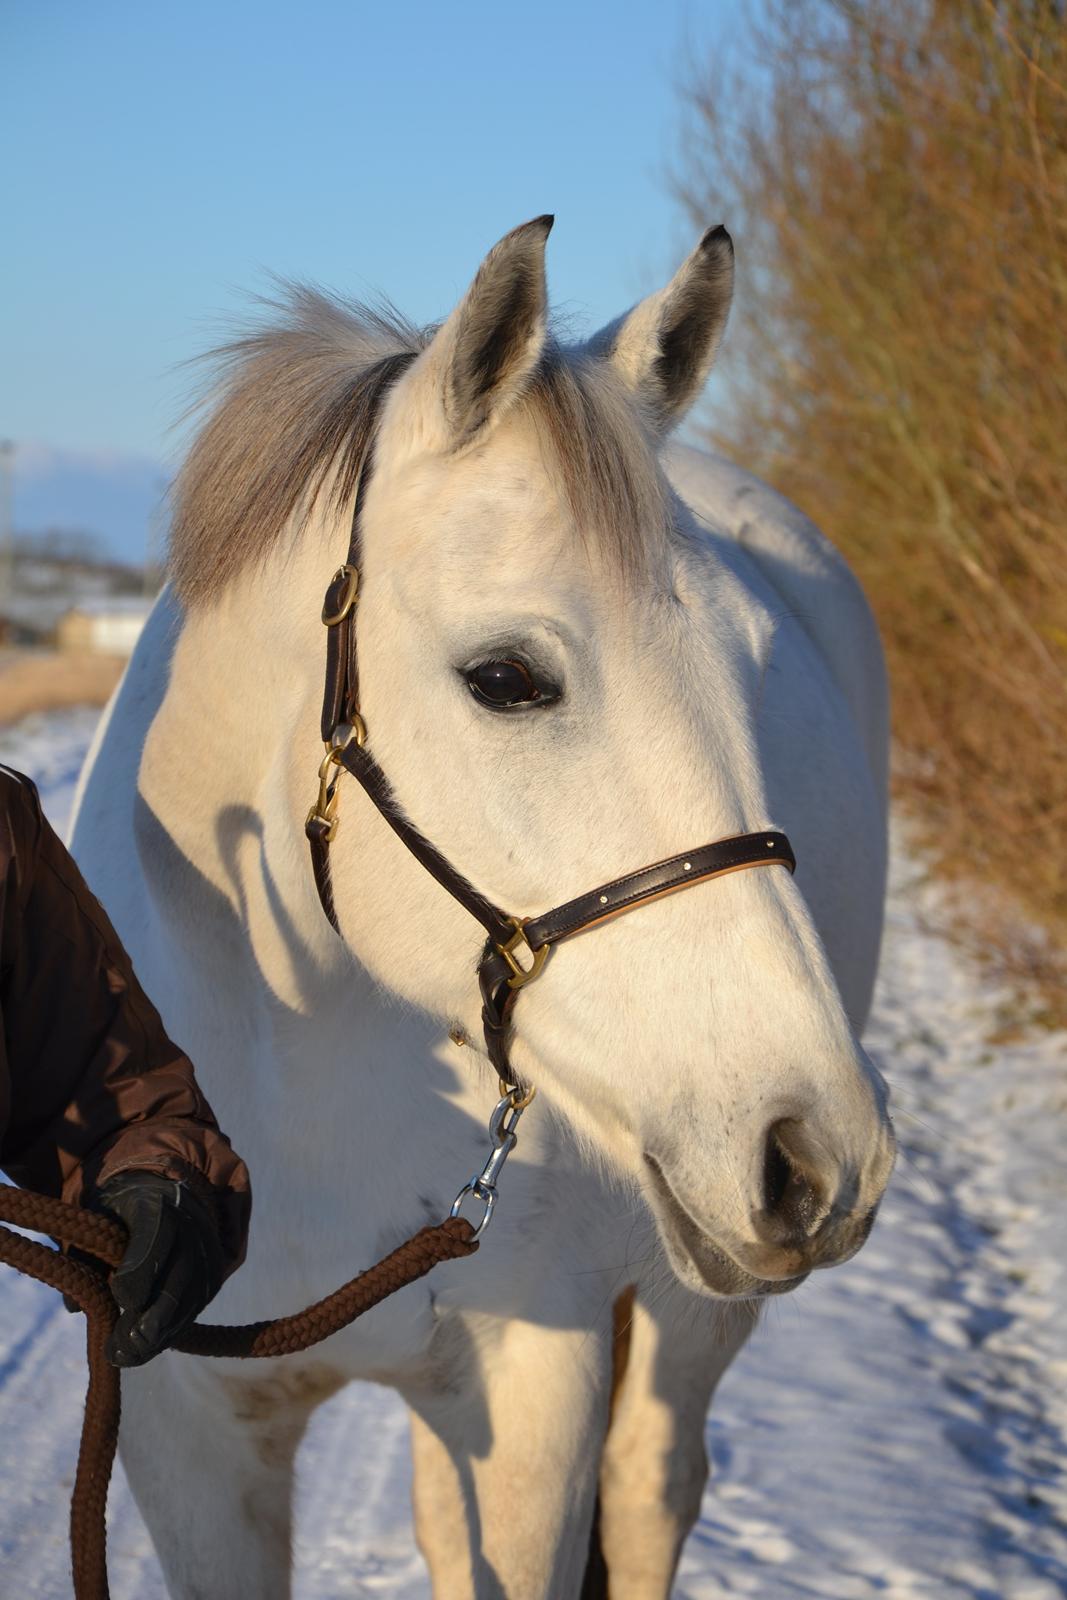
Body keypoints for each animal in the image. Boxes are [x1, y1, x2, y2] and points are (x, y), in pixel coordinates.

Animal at [70, 216, 895, 1600]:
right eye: (505, 678)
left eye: (752, 659)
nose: (816, 1152)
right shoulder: (191, 1444)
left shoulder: (534, 1395)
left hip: (694, 1309)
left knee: (652, 1489)